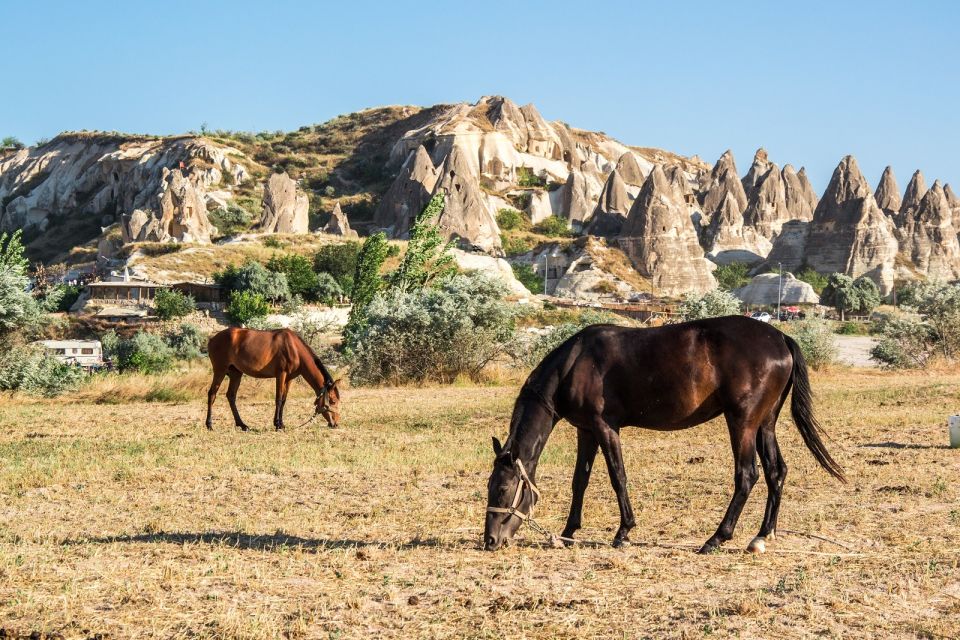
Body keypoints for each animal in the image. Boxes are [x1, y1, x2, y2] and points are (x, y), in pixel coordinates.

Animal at [203, 330, 342, 430]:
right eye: (333, 401)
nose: (335, 423)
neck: (295, 348)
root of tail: (212, 339)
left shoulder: (289, 379)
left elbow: (284, 400)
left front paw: (282, 423)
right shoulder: (281, 375)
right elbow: (278, 399)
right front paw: (277, 424)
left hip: (236, 374)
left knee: (231, 396)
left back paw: (242, 425)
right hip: (220, 371)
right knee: (212, 394)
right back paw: (209, 424)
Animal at [484, 318, 844, 552]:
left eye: (502, 489)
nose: (490, 541)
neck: (574, 364)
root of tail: (780, 337)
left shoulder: (605, 427)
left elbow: (618, 477)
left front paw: (623, 532)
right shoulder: (586, 431)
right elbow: (579, 481)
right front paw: (569, 531)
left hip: (742, 423)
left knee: (747, 475)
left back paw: (716, 538)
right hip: (764, 424)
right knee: (775, 472)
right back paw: (762, 535)